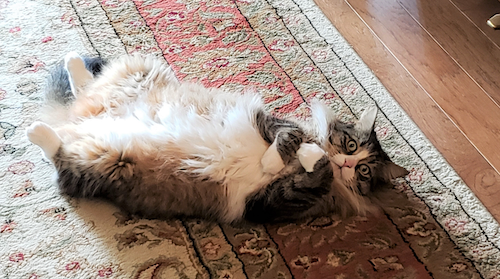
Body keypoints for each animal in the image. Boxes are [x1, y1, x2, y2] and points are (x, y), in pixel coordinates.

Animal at [25, 52, 408, 223]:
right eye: (351, 145)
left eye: (364, 171)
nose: (348, 162)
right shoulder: (270, 120)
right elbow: (289, 137)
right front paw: (294, 153)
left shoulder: (270, 202)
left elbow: (314, 173)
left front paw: (312, 159)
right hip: (138, 75)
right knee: (83, 90)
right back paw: (71, 65)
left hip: (103, 160)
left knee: (59, 154)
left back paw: (39, 128)